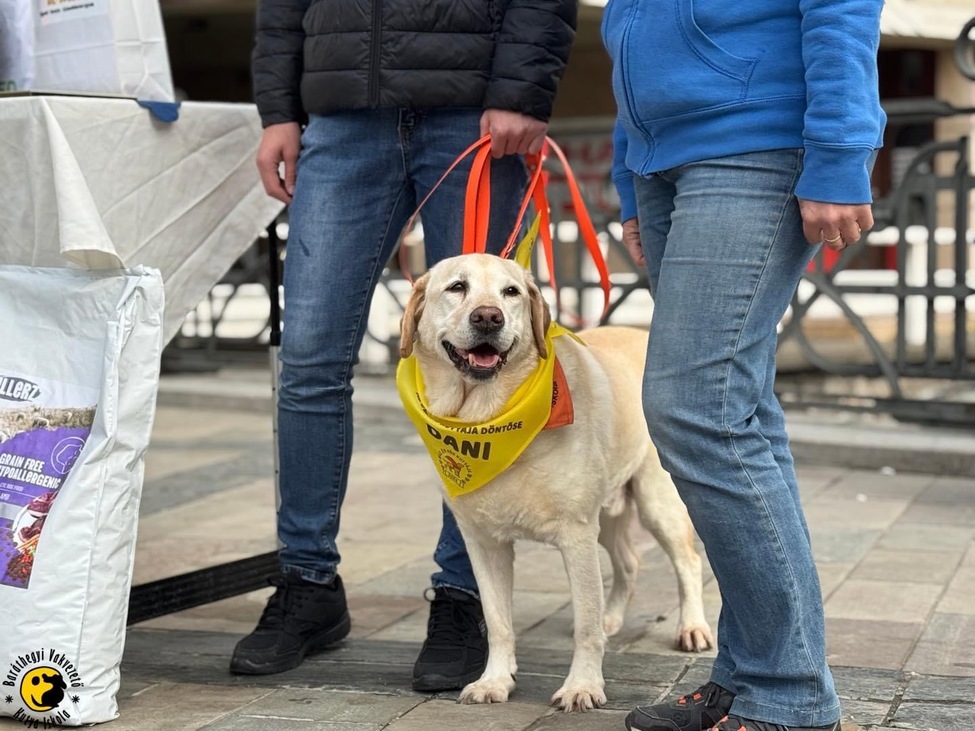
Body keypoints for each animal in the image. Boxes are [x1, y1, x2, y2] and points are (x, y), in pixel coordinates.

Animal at [400, 254, 712, 712]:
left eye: (511, 292)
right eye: (457, 287)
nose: (488, 317)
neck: (489, 420)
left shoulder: (577, 535)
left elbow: (585, 624)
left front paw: (583, 686)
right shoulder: (483, 542)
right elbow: (498, 621)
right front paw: (495, 681)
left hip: (658, 501)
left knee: (687, 561)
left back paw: (691, 627)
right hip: (609, 510)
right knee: (630, 561)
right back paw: (612, 617)